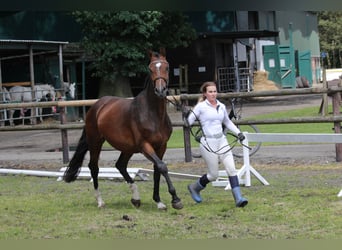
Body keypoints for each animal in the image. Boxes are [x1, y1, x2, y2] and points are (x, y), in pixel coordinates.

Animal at [62, 48, 183, 209]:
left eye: (167, 67)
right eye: (150, 69)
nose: (160, 90)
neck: (153, 114)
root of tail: (96, 106)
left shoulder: (161, 146)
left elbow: (157, 170)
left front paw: (159, 201)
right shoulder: (145, 146)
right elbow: (162, 167)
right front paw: (176, 199)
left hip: (127, 148)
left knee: (120, 165)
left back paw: (136, 198)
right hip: (96, 142)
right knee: (94, 167)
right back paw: (100, 201)